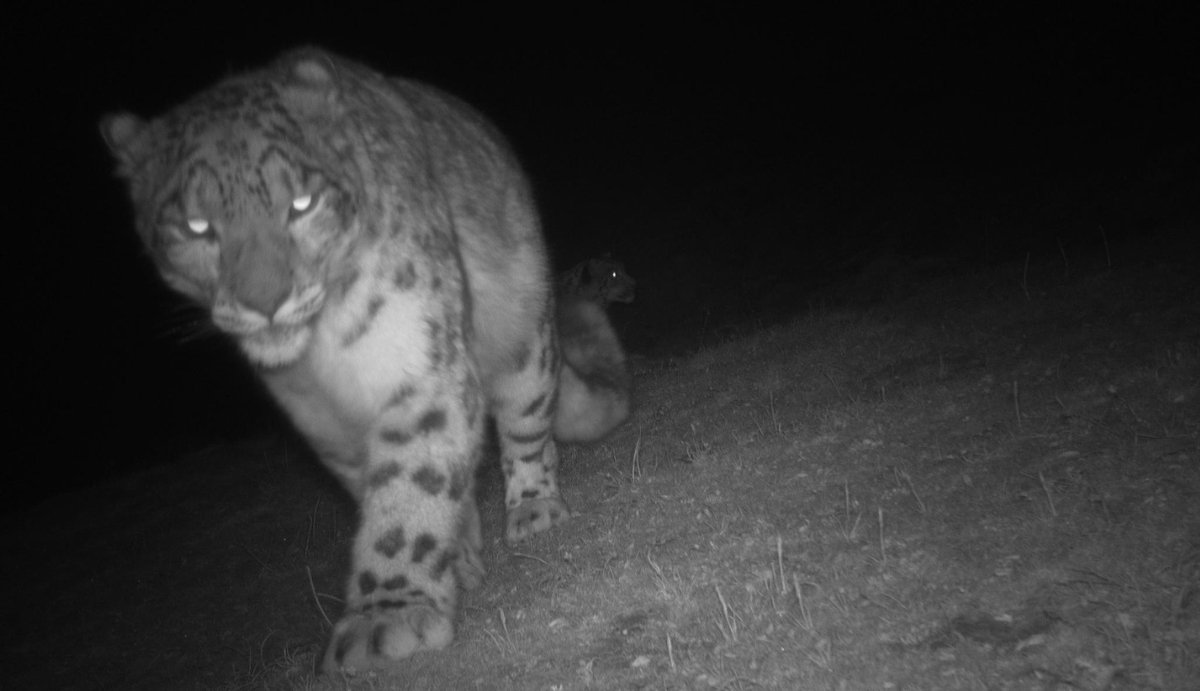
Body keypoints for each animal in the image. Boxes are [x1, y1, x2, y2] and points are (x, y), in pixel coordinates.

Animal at [101, 47, 629, 674]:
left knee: (528, 424)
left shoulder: (422, 364)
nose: (265, 301)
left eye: (302, 203)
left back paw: (534, 509)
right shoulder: (319, 418)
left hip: (524, 330)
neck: (323, 358)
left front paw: (386, 621)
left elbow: (411, 482)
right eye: (196, 225)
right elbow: (391, 485)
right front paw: (453, 563)